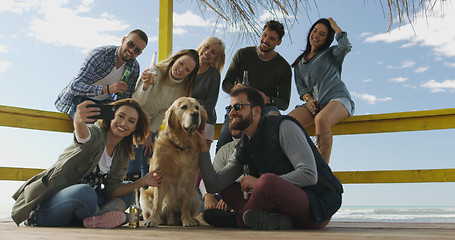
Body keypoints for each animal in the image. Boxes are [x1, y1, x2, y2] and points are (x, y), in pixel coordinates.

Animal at [142, 97, 208, 227]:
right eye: (184, 107)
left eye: (197, 107)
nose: (195, 114)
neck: (181, 145)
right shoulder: (160, 176)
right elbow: (157, 203)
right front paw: (153, 219)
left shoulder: (189, 179)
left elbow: (186, 204)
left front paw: (187, 220)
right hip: (144, 195)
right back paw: (157, 219)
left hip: (195, 196)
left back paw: (193, 220)